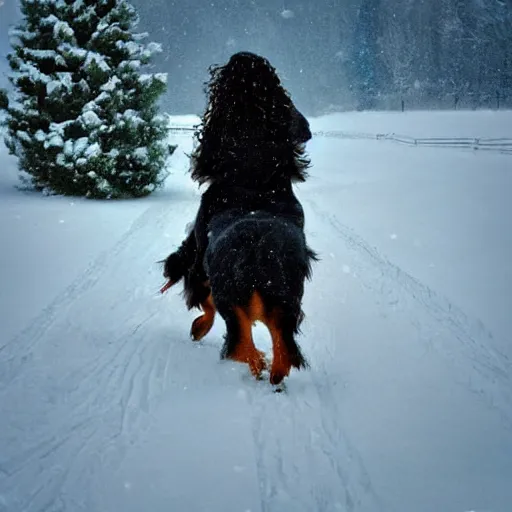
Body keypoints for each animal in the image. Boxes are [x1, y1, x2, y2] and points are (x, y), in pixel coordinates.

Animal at [160, 52, 316, 384]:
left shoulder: (199, 258)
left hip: (233, 301)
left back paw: (256, 364)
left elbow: (201, 296)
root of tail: (257, 256)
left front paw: (198, 327)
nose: (244, 57)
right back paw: (273, 375)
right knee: (283, 352)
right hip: (286, 303)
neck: (252, 176)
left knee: (241, 346)